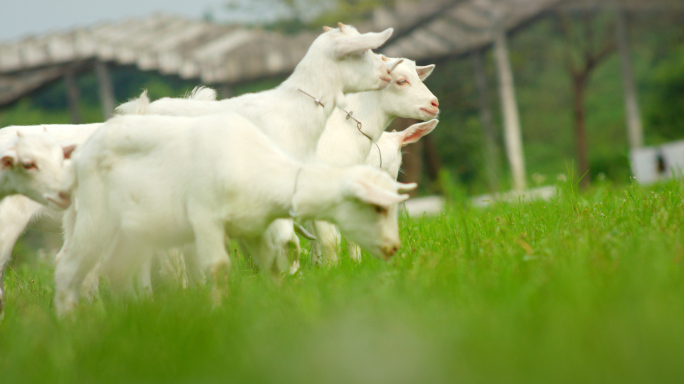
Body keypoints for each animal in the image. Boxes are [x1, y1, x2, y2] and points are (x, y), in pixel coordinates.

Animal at [53, 113, 414, 316]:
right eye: (375, 207)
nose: (393, 248)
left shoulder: (253, 229)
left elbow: (273, 267)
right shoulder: (205, 220)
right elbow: (218, 267)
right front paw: (218, 312)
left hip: (134, 232)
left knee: (115, 269)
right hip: (96, 218)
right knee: (70, 266)